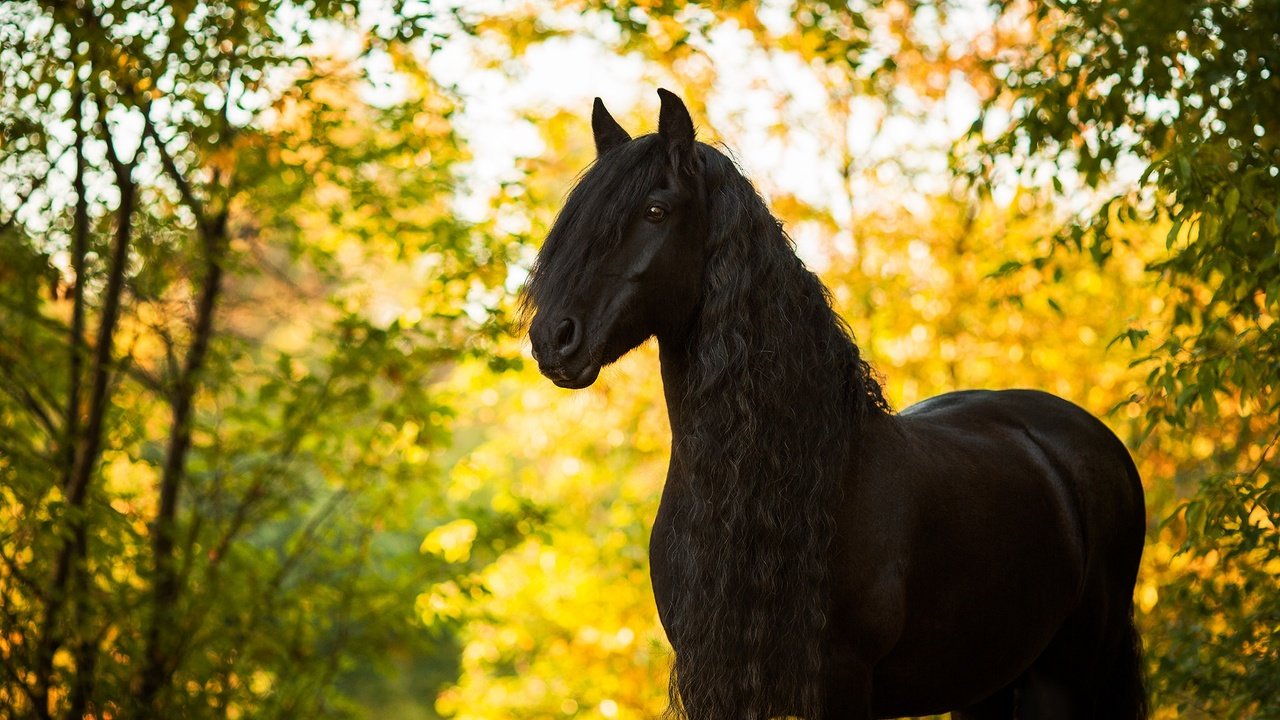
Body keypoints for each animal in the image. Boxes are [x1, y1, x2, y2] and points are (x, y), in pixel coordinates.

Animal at [519, 89, 1152, 717]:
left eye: (655, 210)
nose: (554, 338)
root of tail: (1092, 441)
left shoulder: (840, 681)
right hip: (987, 684)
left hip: (1062, 678)